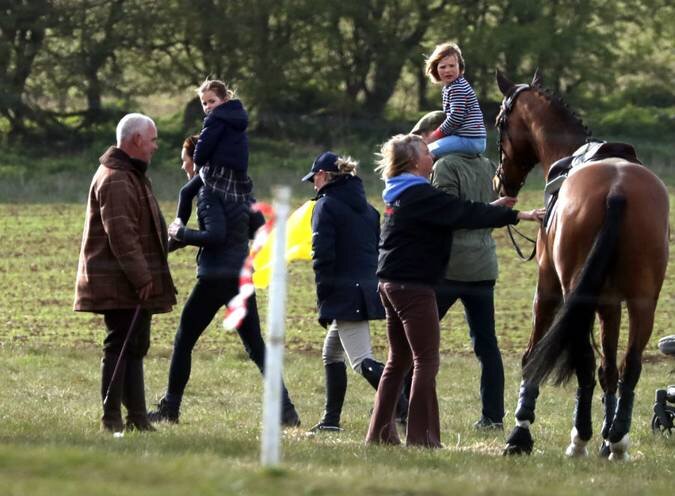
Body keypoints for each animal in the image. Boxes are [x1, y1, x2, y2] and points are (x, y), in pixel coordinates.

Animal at [494, 70, 672, 462]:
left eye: (499, 122)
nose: (500, 180)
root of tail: (617, 190)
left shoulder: (547, 287)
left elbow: (533, 356)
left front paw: (521, 432)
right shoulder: (610, 303)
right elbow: (609, 368)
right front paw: (608, 436)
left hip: (575, 290)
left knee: (585, 363)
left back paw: (579, 439)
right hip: (642, 300)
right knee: (628, 365)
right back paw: (617, 439)